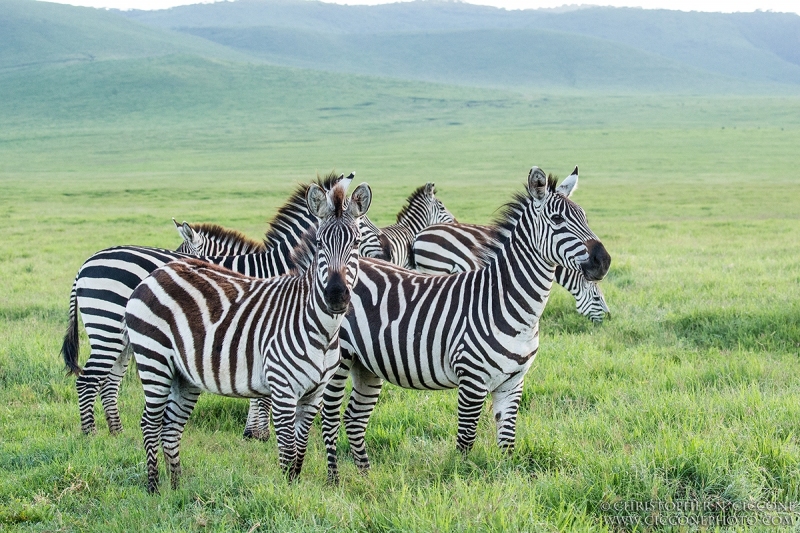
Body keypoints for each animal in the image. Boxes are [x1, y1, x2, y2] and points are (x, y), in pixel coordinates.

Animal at [61, 172, 348, 434]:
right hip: (108, 328)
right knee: (88, 381)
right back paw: (90, 435)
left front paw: (253, 431)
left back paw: (116, 432)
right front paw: (259, 433)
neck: (270, 266)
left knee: (109, 381)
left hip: (123, 337)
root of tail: (86, 264)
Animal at [126, 181, 376, 492]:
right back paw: (153, 487)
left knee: (171, 426)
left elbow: (301, 450)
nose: (336, 296)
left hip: (183, 375)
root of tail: (156, 272)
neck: (321, 328)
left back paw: (176, 487)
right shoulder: (283, 390)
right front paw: (287, 494)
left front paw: (295, 488)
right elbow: (288, 452)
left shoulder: (313, 394)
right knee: (150, 423)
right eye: (319, 243)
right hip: (154, 361)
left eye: (355, 243)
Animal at [322, 166, 608, 482]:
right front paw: (461, 482)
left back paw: (366, 477)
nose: (604, 261)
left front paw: (509, 483)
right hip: (339, 362)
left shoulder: (513, 383)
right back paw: (334, 479)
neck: (506, 302)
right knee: (329, 418)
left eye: (584, 216)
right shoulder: (472, 380)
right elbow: (465, 443)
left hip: (366, 364)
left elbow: (508, 444)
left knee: (354, 418)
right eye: (557, 219)